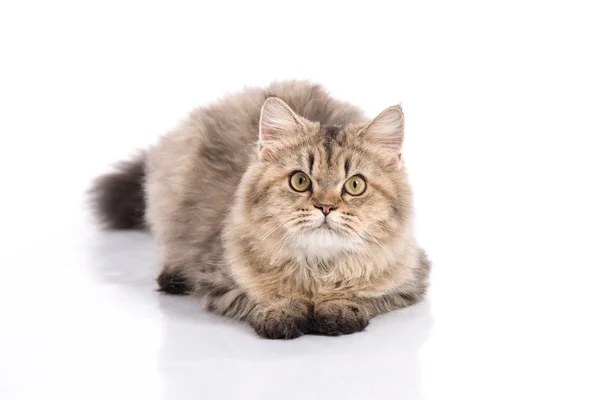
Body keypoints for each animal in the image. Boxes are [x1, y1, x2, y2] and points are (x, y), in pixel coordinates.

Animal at [90, 80, 432, 338]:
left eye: (355, 185)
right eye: (300, 181)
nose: (325, 206)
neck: (317, 270)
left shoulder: (410, 278)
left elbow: (360, 294)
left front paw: (336, 309)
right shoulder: (217, 277)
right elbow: (263, 294)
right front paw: (283, 312)